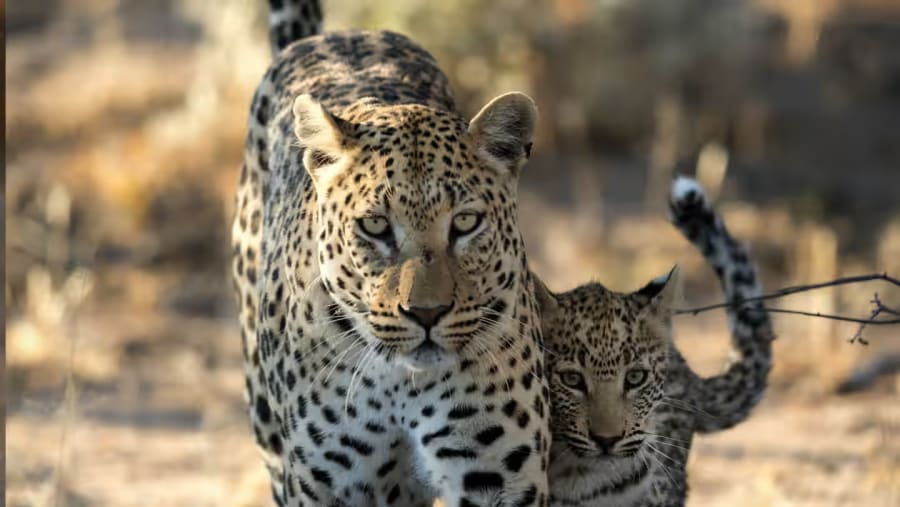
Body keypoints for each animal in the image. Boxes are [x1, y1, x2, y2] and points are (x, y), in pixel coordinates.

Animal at [231, 1, 550, 506]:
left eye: (465, 223)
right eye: (376, 226)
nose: (427, 314)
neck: (401, 383)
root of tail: (336, 35)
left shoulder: (499, 478)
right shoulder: (329, 485)